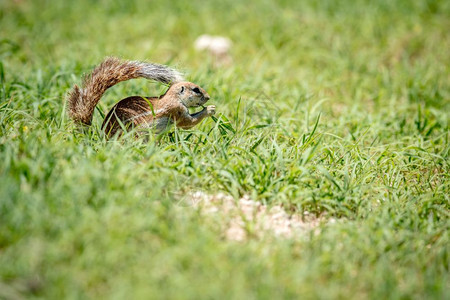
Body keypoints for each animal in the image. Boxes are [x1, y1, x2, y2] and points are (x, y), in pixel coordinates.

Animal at [66, 57, 215, 137]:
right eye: (196, 90)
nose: (208, 97)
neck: (173, 97)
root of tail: (102, 138)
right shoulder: (177, 110)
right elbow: (188, 123)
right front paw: (209, 109)